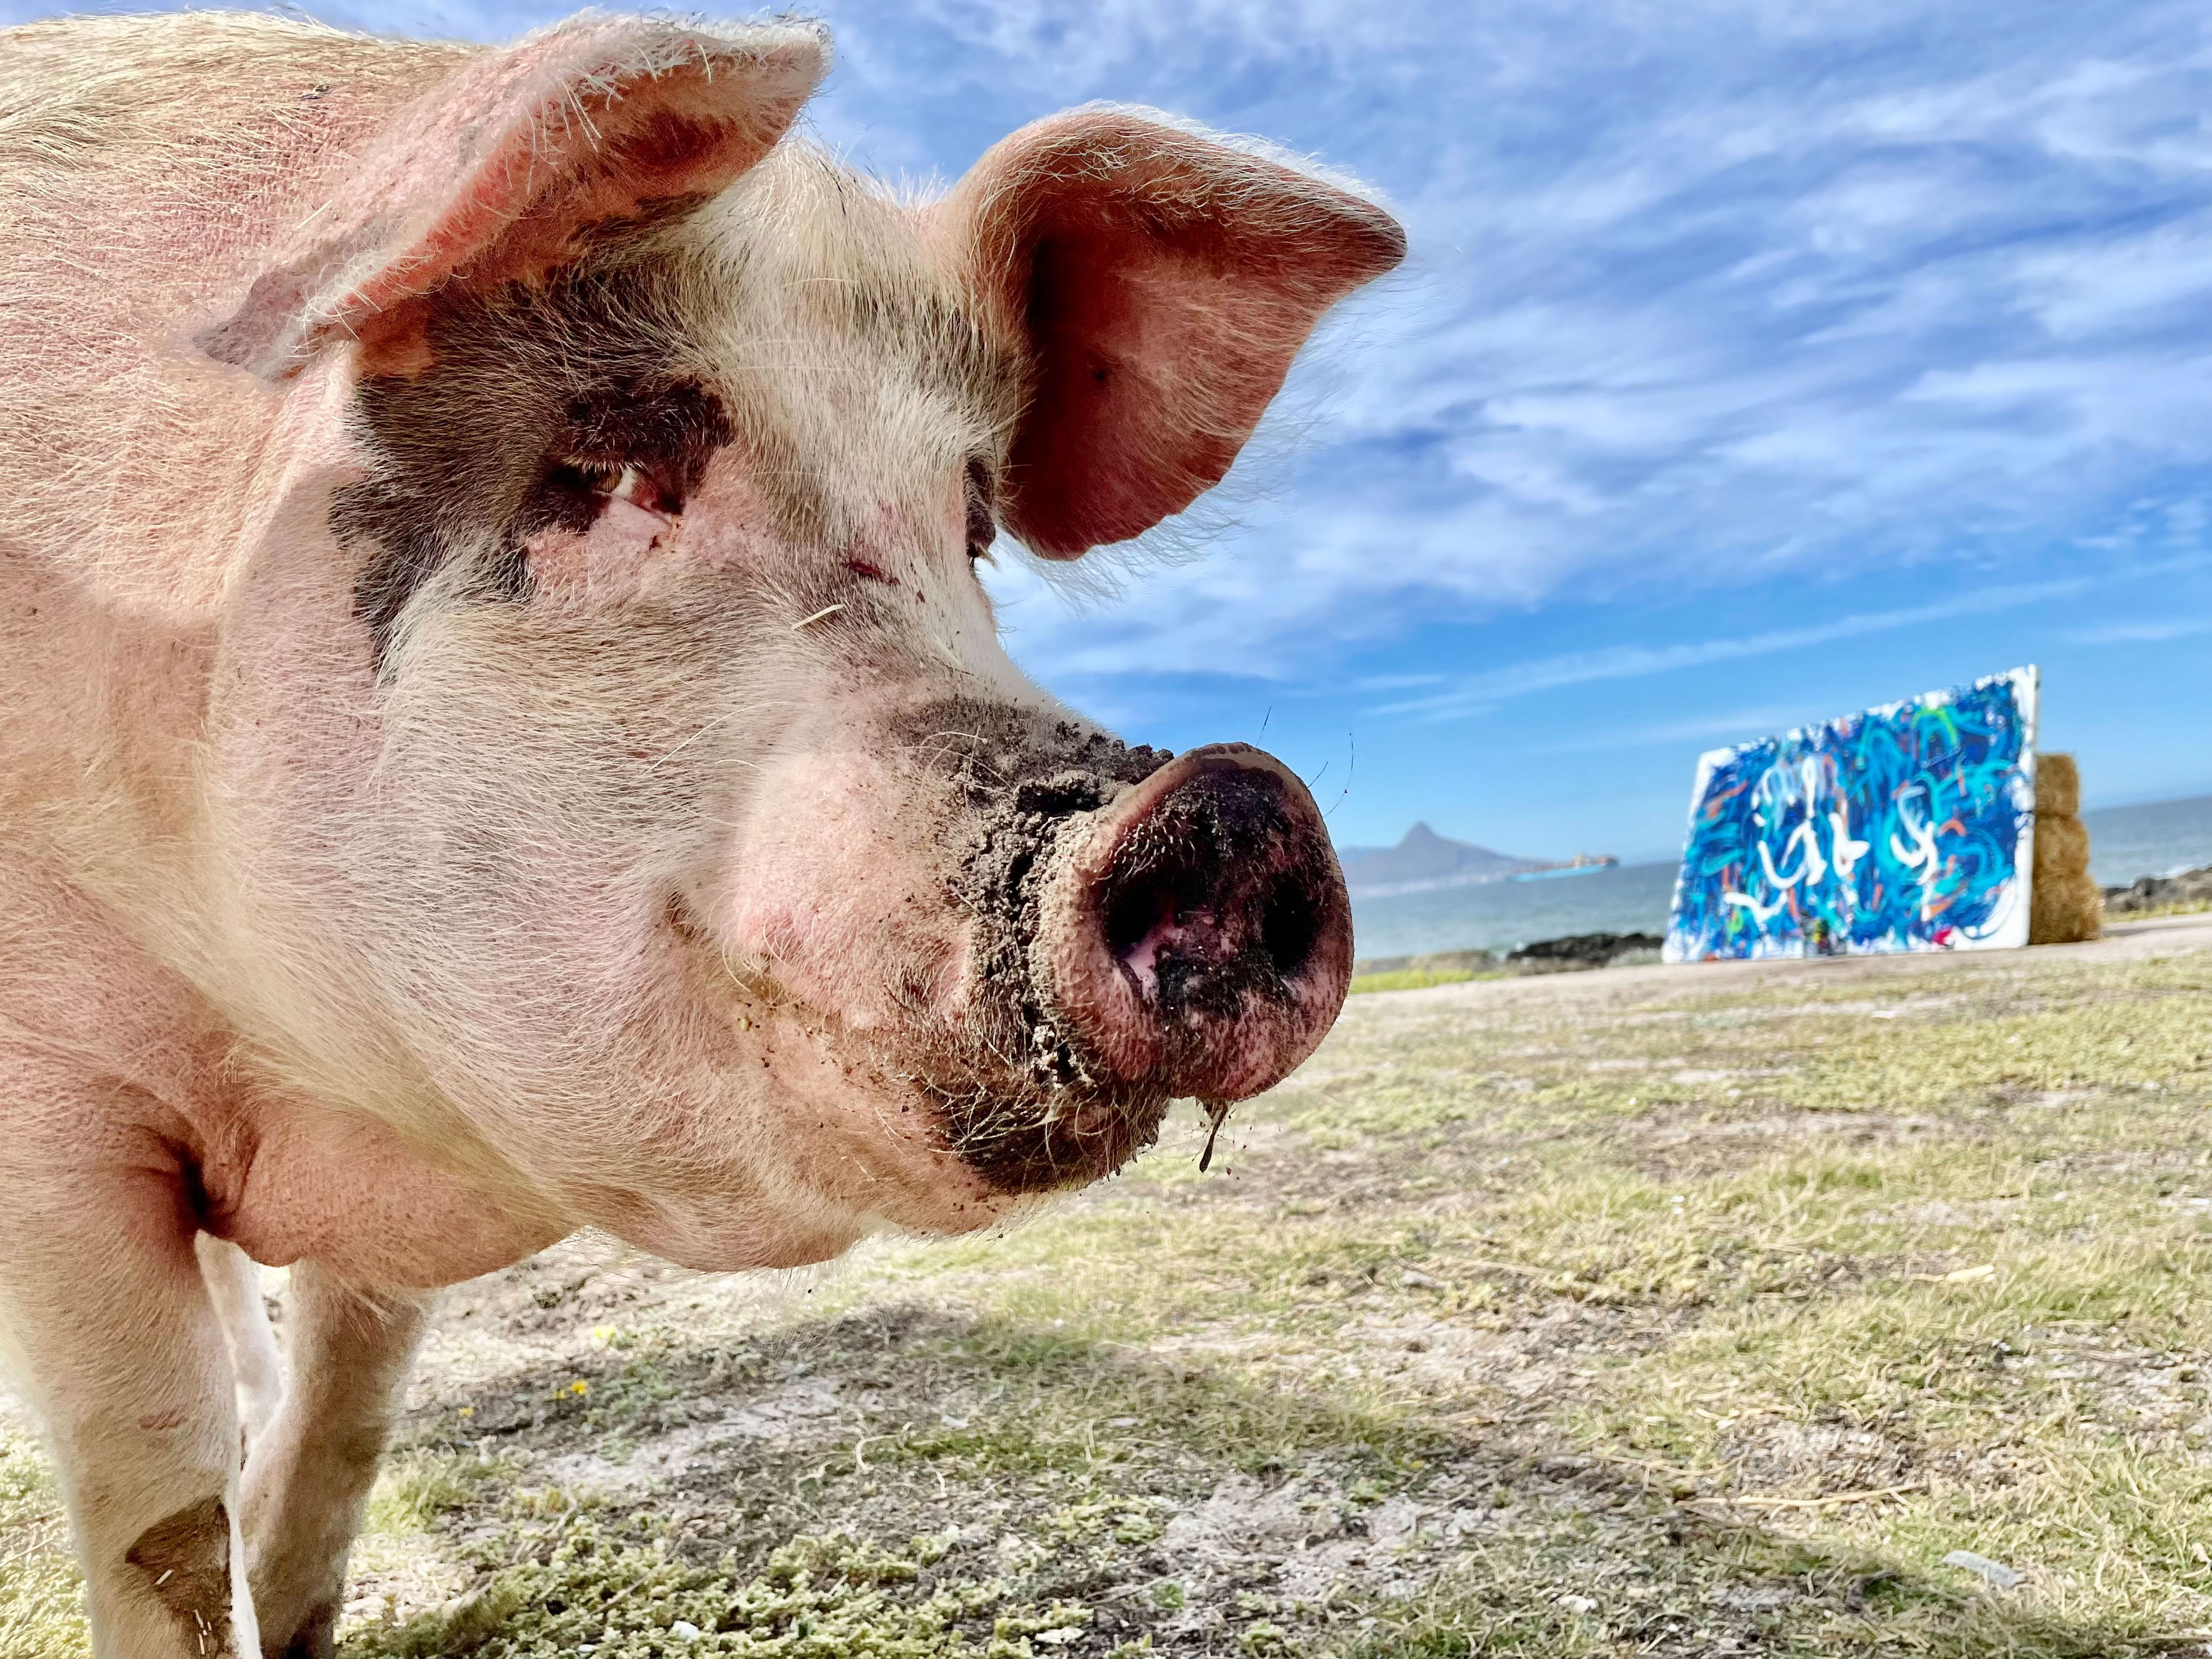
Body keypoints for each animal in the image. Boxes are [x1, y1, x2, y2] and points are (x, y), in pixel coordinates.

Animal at [0, 10, 1402, 1656]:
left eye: (974, 524)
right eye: (607, 468)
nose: (1233, 799)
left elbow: (341, 1430)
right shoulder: (48, 1100)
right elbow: (159, 1492)